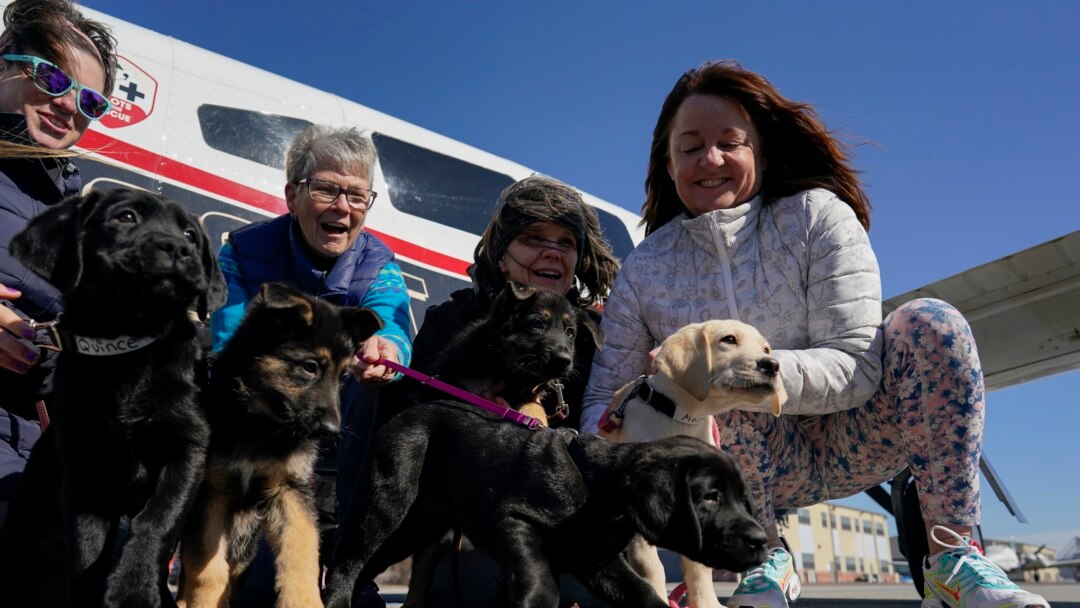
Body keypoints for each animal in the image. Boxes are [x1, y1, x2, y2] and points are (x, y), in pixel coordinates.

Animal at [0, 187, 225, 604]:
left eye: (190, 235)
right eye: (126, 217)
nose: (177, 247)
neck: (127, 350)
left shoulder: (187, 452)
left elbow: (157, 520)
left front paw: (134, 589)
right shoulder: (84, 472)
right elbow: (86, 548)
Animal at [176, 282, 380, 608]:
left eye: (343, 376)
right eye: (310, 367)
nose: (331, 432)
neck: (260, 425)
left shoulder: (291, 490)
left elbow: (302, 553)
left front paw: (304, 601)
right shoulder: (211, 492)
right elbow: (207, 568)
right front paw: (204, 602)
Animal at [326, 403, 768, 608]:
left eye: (740, 497)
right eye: (709, 496)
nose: (762, 541)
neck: (599, 489)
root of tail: (400, 417)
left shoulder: (597, 562)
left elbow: (643, 592)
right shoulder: (514, 520)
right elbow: (540, 580)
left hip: (416, 526)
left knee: (366, 565)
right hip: (387, 506)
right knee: (347, 560)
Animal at [600, 321, 786, 604]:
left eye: (766, 348)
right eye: (729, 340)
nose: (773, 365)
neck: (681, 418)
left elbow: (698, 568)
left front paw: (706, 603)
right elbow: (651, 566)